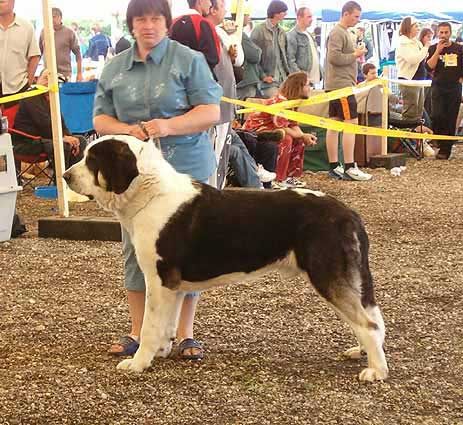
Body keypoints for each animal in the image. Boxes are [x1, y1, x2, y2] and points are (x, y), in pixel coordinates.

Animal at [62, 134, 388, 380]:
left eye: (93, 160)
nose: (65, 175)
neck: (149, 194)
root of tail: (347, 212)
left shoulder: (158, 280)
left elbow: (151, 326)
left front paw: (139, 363)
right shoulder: (172, 286)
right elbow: (167, 324)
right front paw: (163, 351)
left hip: (327, 275)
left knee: (368, 323)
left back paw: (376, 370)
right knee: (371, 317)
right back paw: (362, 353)